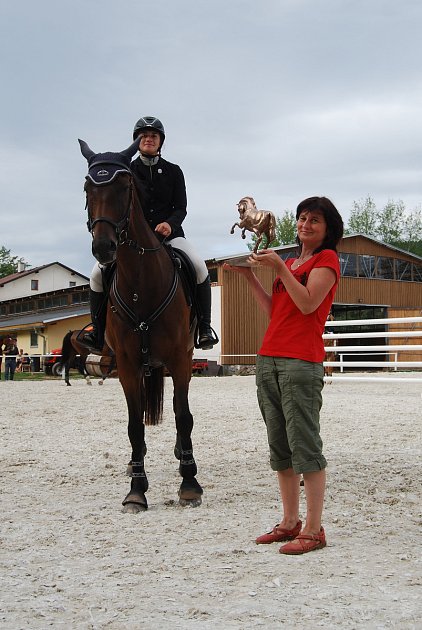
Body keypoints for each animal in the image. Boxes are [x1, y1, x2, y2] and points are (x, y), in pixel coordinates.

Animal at [79, 137, 204, 512]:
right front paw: (136, 489)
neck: (141, 282)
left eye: (124, 186)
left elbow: (184, 416)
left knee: (180, 414)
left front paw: (189, 483)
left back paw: (181, 456)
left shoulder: (180, 359)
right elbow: (135, 425)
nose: (103, 247)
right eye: (88, 187)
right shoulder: (127, 365)